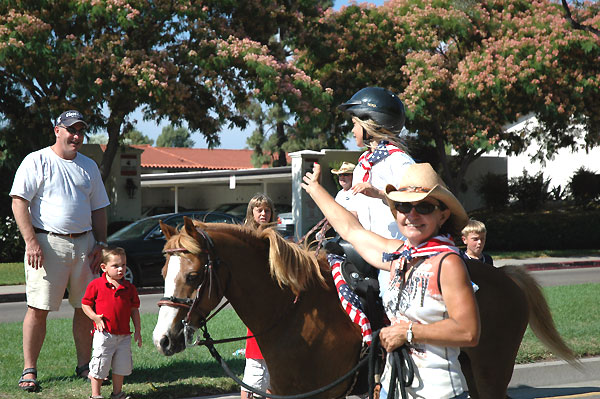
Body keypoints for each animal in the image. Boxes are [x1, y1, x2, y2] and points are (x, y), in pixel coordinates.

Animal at [152, 219, 580, 399]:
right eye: (162, 272)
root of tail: (505, 277)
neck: (293, 313)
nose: (163, 339)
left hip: (492, 374)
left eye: (193, 276)